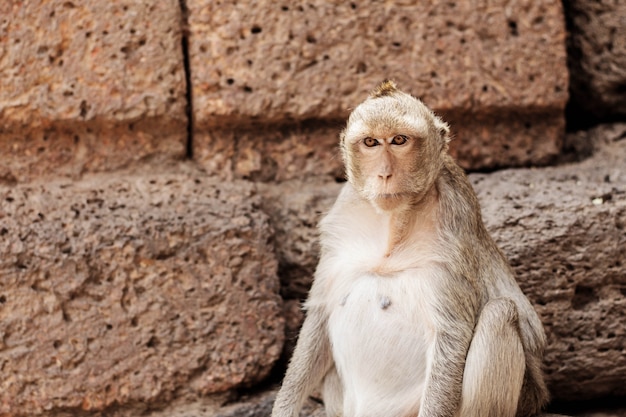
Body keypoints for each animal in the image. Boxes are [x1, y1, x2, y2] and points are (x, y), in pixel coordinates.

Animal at [270, 80, 544, 416]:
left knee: (499, 313)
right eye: (371, 143)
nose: (385, 174)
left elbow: (451, 335)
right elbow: (319, 318)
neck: (394, 226)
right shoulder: (339, 233)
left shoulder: (452, 241)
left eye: (399, 140)